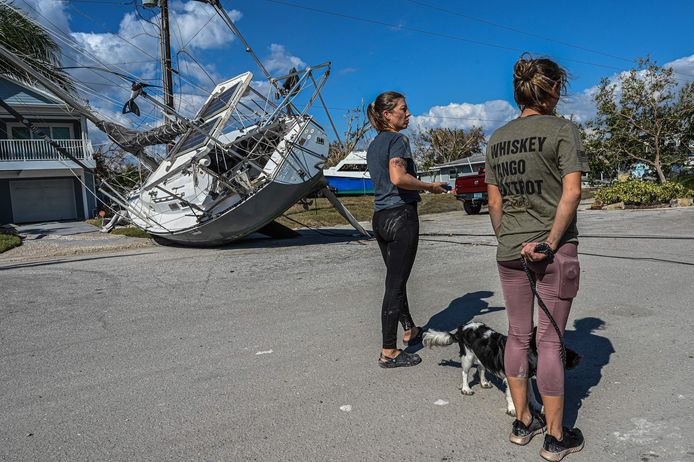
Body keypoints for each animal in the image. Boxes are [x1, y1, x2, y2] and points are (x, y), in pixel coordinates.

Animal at [424, 324, 580, 416]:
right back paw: (466, 388)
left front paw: (537, 406)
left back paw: (484, 383)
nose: (580, 357)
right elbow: (511, 394)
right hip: (468, 357)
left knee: (481, 368)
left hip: (482, 355)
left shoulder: (526, 377)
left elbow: (531, 393)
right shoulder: (512, 377)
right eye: (562, 350)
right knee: (465, 373)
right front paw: (512, 409)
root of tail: (462, 327)